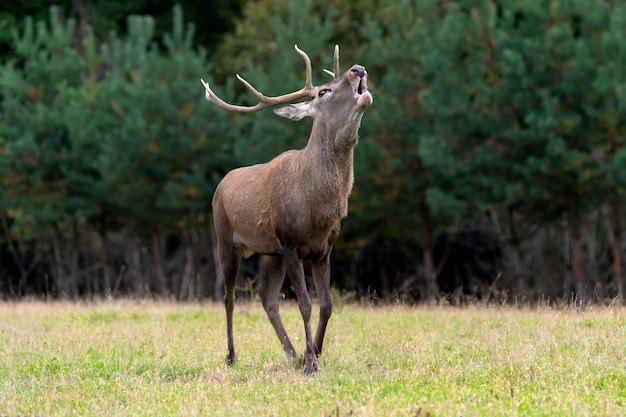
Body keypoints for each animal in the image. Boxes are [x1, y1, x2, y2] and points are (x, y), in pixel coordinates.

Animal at [201, 43, 370, 374]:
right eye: (323, 92)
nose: (358, 69)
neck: (317, 209)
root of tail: (220, 185)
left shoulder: (324, 249)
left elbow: (327, 304)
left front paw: (313, 352)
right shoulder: (291, 243)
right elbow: (305, 303)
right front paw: (312, 363)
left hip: (270, 253)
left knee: (268, 300)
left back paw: (291, 353)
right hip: (226, 239)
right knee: (229, 297)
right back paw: (231, 355)